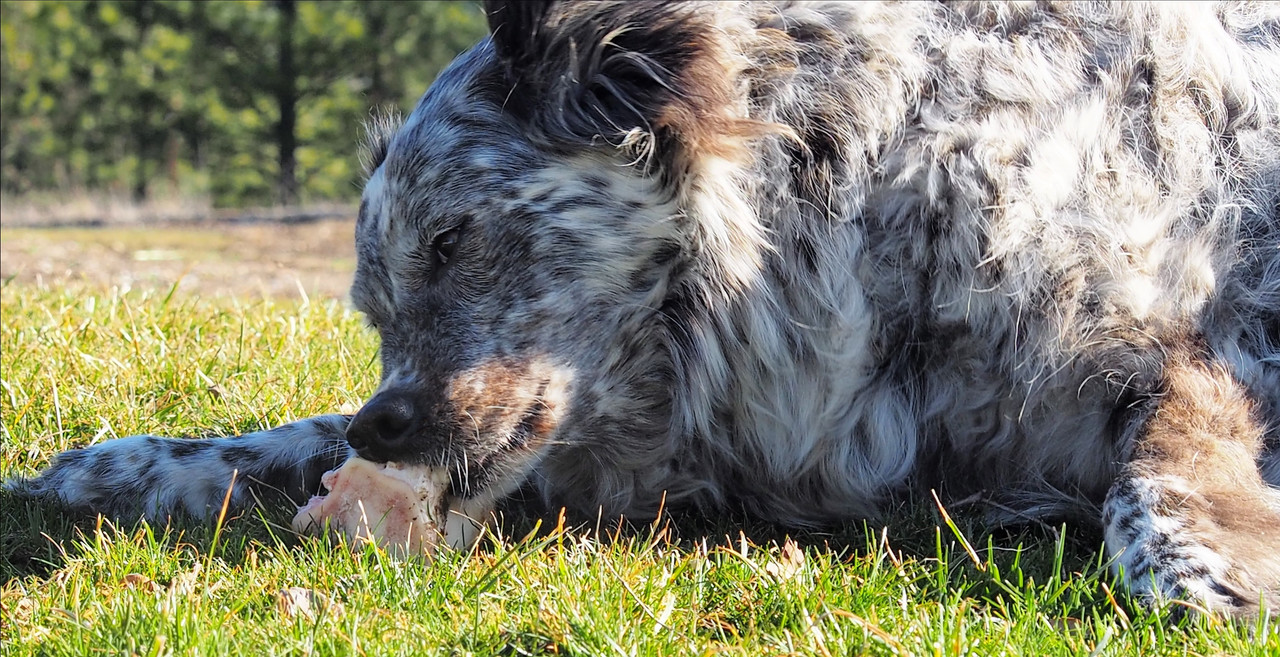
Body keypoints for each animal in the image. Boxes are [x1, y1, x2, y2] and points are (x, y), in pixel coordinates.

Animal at [10, 1, 1280, 618]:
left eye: (451, 238)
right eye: (372, 307)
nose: (385, 423)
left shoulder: (1184, 342)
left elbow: (1159, 464)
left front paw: (1201, 561)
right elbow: (265, 442)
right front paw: (102, 468)